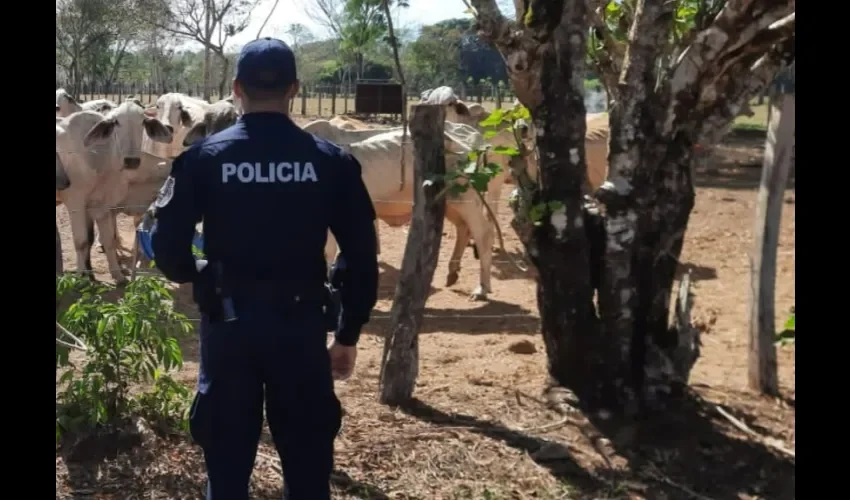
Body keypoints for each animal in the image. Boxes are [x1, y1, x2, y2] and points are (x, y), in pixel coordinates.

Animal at [55, 101, 172, 282]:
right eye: (116, 122)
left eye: (143, 122)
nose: (131, 160)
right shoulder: (76, 202)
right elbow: (81, 242)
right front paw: (82, 277)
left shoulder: (102, 205)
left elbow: (108, 240)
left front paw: (117, 275)